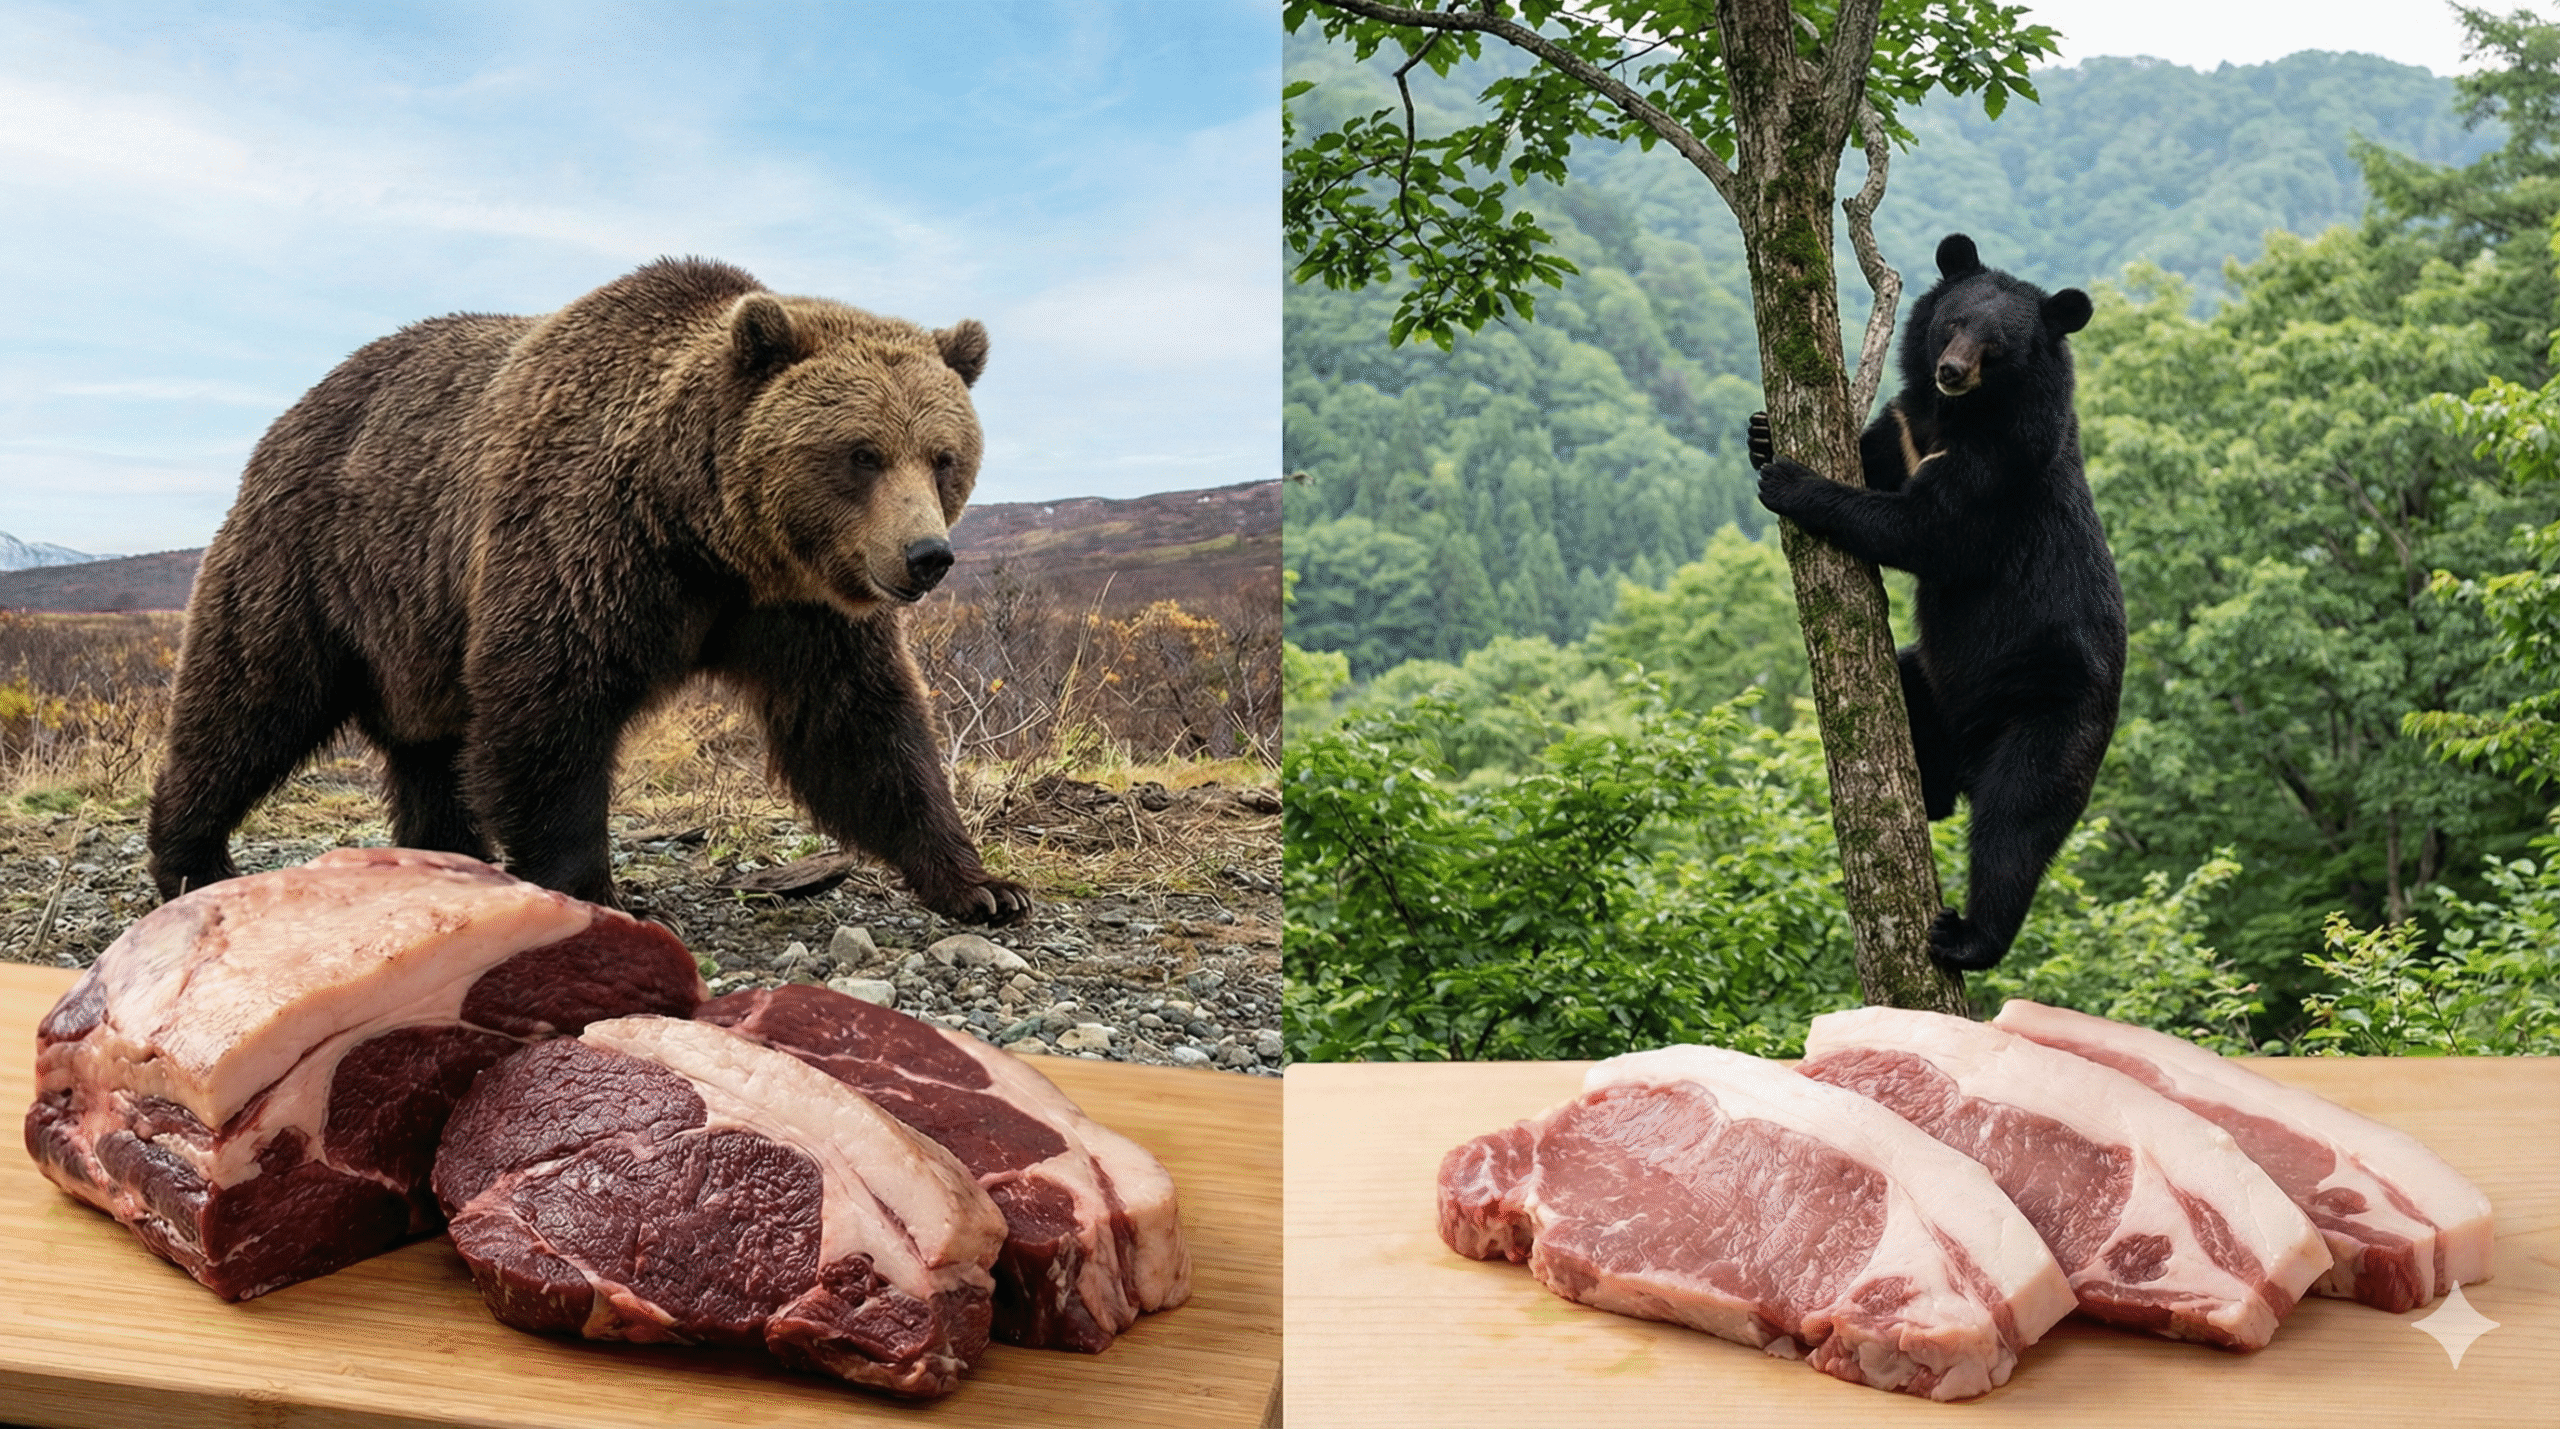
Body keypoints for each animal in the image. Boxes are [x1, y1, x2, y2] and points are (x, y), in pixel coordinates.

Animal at [147, 257, 1031, 925]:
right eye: (860, 453)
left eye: (943, 456)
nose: (926, 556)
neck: (703, 530)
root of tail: (297, 408)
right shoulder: (587, 543)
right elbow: (552, 706)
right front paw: (596, 887)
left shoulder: (795, 607)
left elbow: (861, 726)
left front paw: (985, 885)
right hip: (315, 561)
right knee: (249, 699)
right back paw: (193, 858)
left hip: (417, 627)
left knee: (431, 748)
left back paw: (449, 857)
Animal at [1750, 233, 2123, 972]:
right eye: (1952, 323)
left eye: (1996, 345)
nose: (1951, 370)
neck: (1956, 417)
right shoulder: (1905, 427)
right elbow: (1873, 459)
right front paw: (1761, 433)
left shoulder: (1999, 471)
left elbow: (1925, 530)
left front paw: (1792, 480)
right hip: (1932, 681)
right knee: (1906, 693)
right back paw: (1924, 791)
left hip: (2050, 719)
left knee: (2015, 824)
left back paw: (1968, 936)